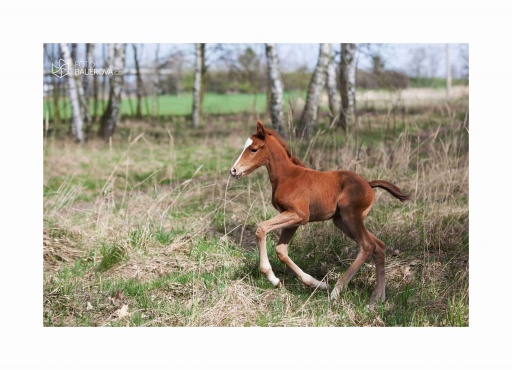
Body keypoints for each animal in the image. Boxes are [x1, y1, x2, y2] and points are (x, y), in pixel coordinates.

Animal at [230, 121, 410, 304]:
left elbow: (262, 228)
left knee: (367, 246)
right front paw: (317, 284)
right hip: (341, 221)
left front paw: (272, 278)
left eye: (253, 149)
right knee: (379, 246)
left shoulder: (299, 215)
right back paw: (377, 299)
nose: (234, 170)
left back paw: (337, 290)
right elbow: (281, 250)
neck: (287, 177)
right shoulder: (293, 219)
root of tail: (368, 183)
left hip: (351, 216)